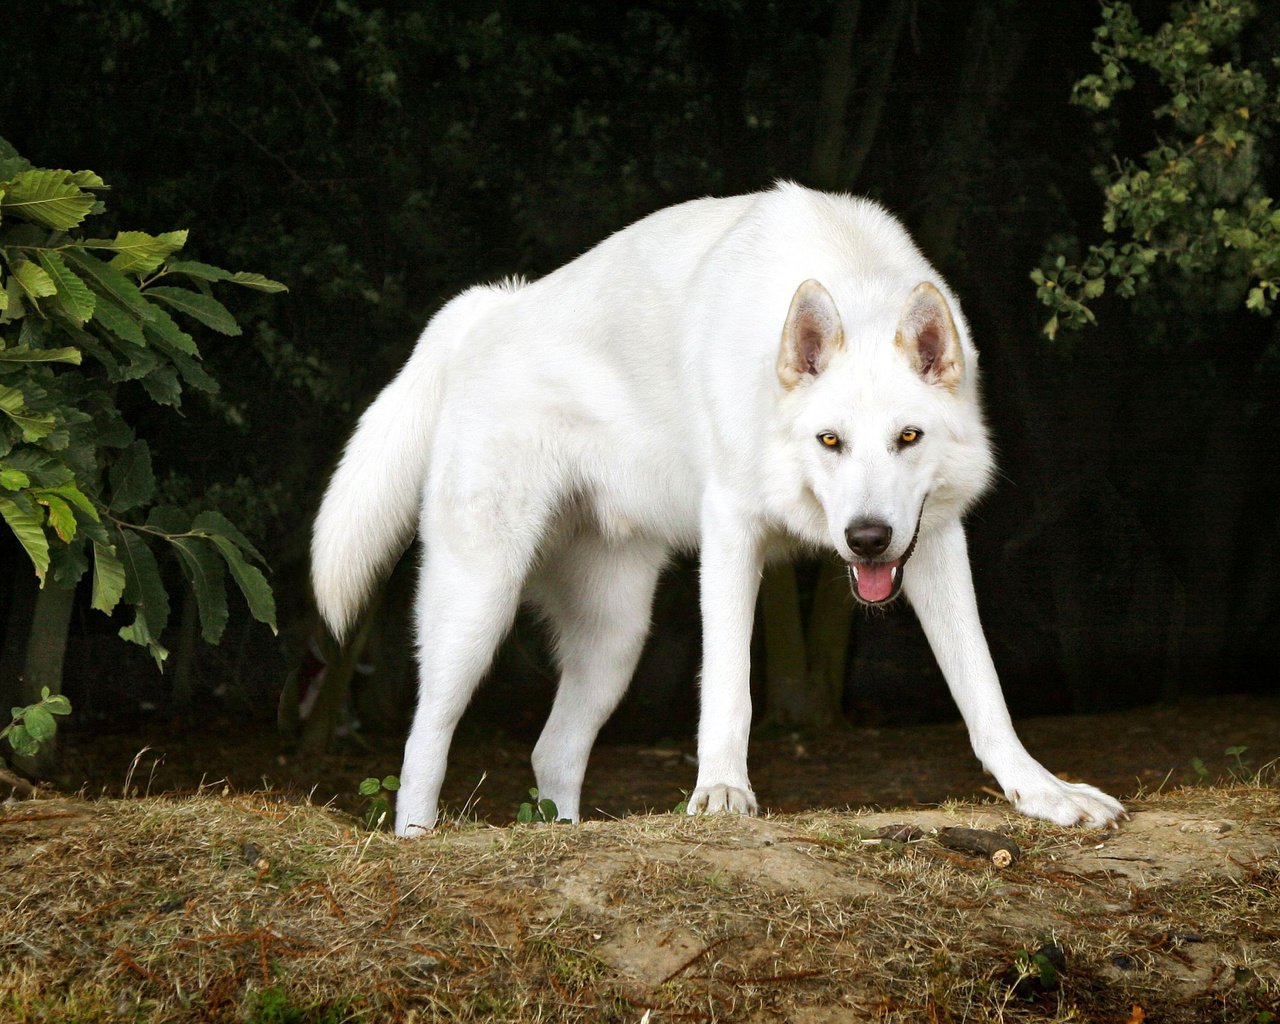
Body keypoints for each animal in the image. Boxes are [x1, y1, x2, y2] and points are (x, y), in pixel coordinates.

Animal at [314, 180, 1126, 834]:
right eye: (830, 440)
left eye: (908, 437)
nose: (866, 538)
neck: (848, 276)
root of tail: (488, 307)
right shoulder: (733, 530)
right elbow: (729, 687)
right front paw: (723, 795)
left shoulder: (934, 540)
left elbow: (983, 689)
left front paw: (1043, 794)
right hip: (476, 609)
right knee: (422, 743)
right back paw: (418, 841)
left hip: (615, 641)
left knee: (552, 753)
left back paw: (564, 835)